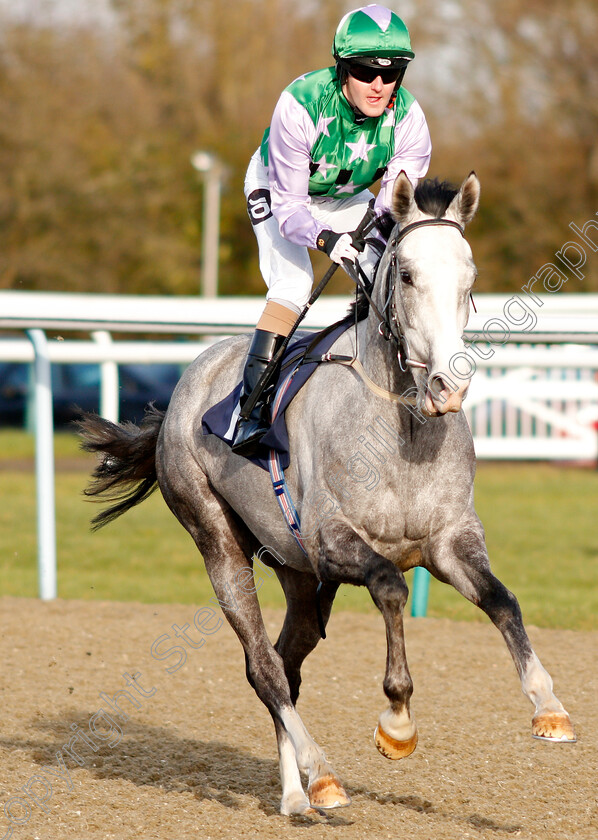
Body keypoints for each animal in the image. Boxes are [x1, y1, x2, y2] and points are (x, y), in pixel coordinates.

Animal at [79, 174, 576, 816]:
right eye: (407, 275)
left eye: (470, 276)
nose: (449, 386)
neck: (400, 428)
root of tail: (186, 386)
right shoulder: (334, 541)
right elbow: (390, 587)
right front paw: (397, 720)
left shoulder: (449, 542)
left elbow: (503, 601)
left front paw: (549, 708)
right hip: (218, 542)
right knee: (263, 667)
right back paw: (321, 775)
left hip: (297, 575)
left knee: (286, 662)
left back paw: (296, 791)